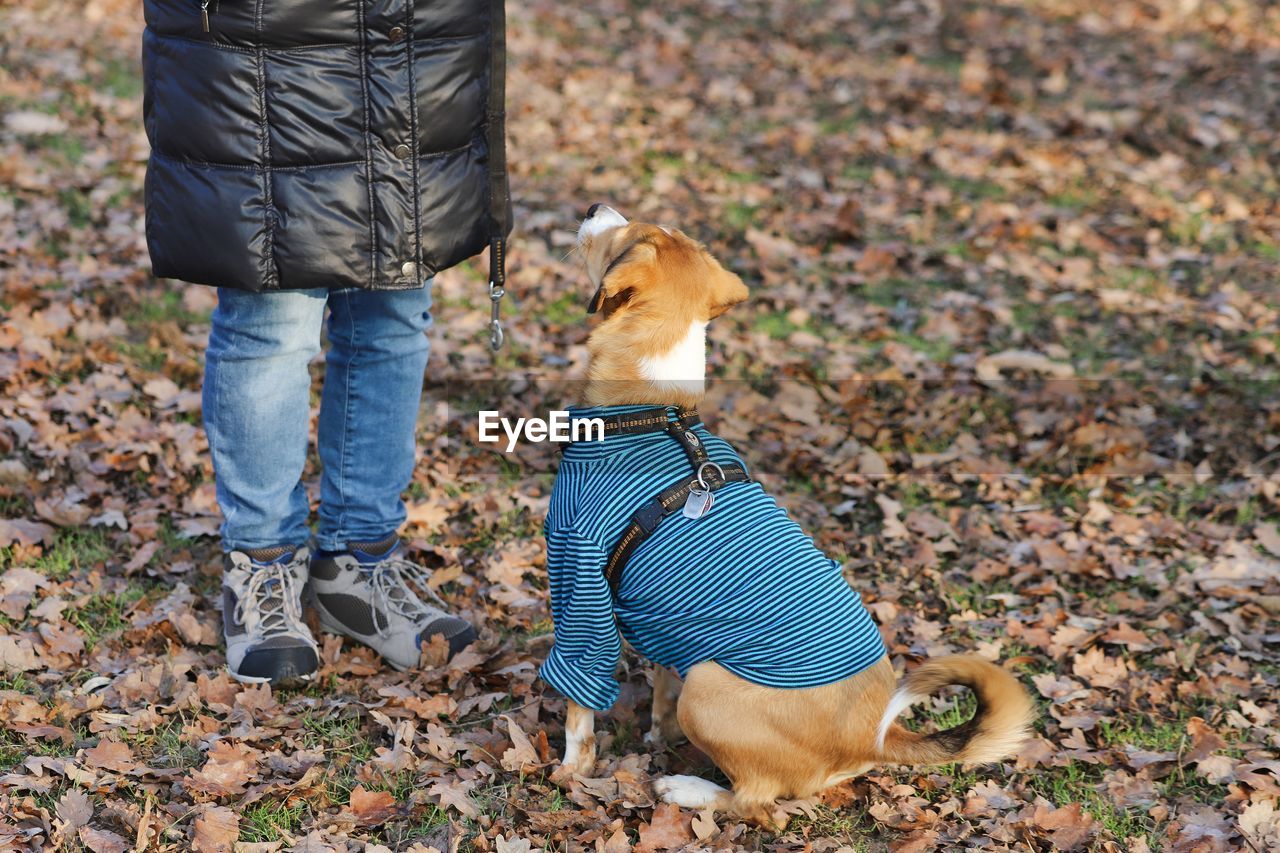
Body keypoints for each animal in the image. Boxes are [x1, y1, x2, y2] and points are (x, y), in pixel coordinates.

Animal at [537, 202, 1029, 824]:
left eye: (623, 236)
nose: (593, 209)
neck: (653, 412)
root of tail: (874, 736)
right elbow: (661, 690)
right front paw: (654, 737)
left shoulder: (579, 580)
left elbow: (579, 702)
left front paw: (572, 772)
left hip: (708, 689)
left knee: (757, 802)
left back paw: (688, 789)